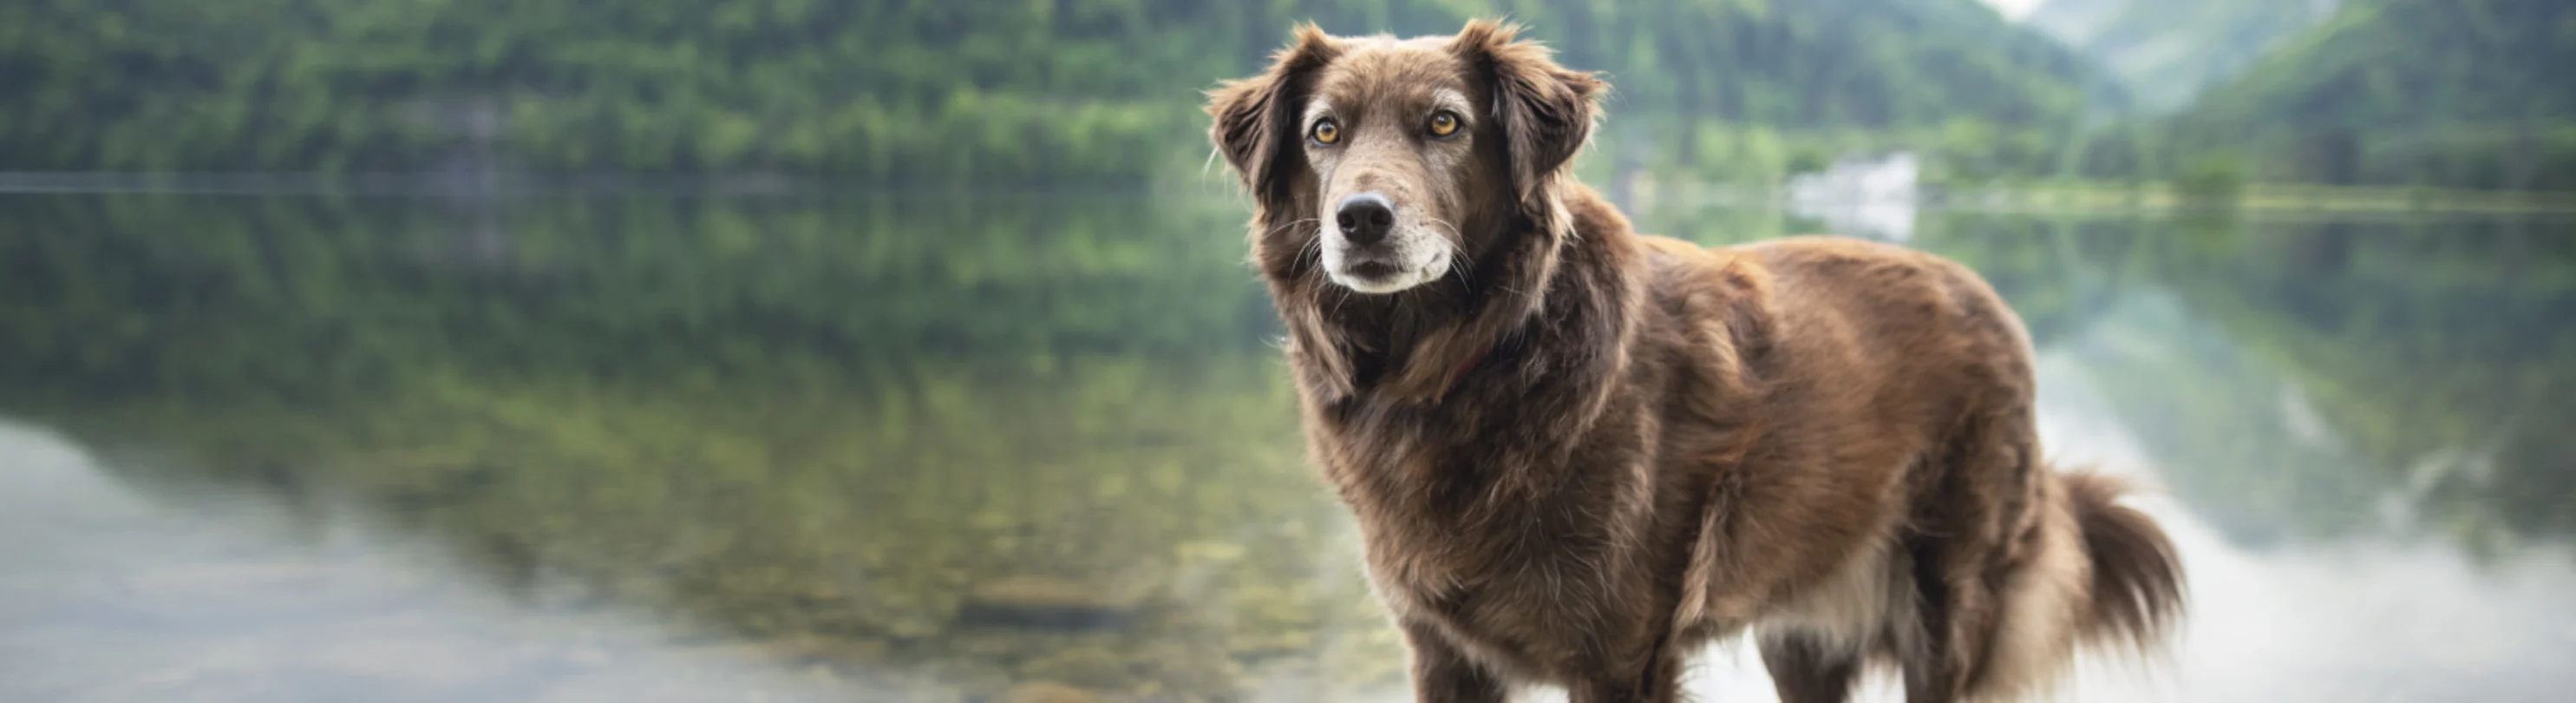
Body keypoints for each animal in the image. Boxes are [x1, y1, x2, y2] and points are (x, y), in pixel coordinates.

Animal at [1205, 20, 2174, 700]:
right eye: (1325, 132)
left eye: (1445, 123)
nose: (1362, 220)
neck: (1466, 361)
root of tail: (1988, 298)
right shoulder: (1443, 654)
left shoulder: (1620, 657)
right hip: (1801, 631)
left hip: (1950, 603)